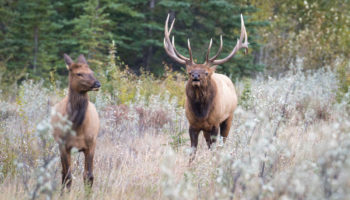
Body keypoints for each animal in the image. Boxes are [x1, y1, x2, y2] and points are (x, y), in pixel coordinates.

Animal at [52, 54, 101, 190]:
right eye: (79, 73)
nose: (97, 83)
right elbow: (68, 176)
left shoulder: (91, 144)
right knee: (63, 173)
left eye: (91, 72)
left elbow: (89, 176)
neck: (77, 127)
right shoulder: (64, 146)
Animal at [164, 14, 249, 162]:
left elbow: (215, 148)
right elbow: (192, 151)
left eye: (206, 73)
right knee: (209, 144)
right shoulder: (193, 125)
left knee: (222, 143)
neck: (201, 113)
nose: (195, 76)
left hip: (229, 117)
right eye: (189, 72)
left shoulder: (215, 124)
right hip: (206, 129)